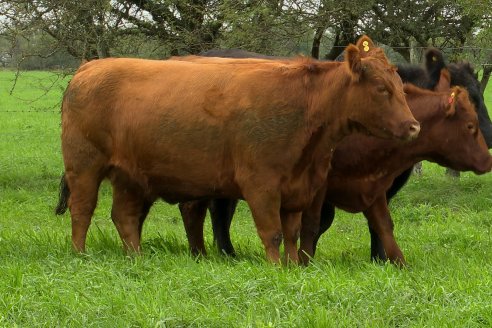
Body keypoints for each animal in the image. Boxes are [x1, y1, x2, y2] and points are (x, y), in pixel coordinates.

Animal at [57, 35, 418, 262]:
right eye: (381, 88)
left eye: (401, 87)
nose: (414, 126)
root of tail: (89, 68)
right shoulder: (261, 185)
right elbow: (272, 233)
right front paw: (276, 267)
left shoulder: (298, 189)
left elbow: (292, 234)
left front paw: (292, 266)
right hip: (85, 166)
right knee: (82, 210)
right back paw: (80, 254)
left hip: (130, 177)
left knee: (125, 217)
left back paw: (137, 257)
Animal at [181, 70, 492, 266]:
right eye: (470, 126)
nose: (488, 160)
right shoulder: (319, 187)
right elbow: (312, 225)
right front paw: (304, 262)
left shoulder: (372, 186)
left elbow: (384, 227)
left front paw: (399, 264)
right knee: (200, 209)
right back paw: (211, 254)